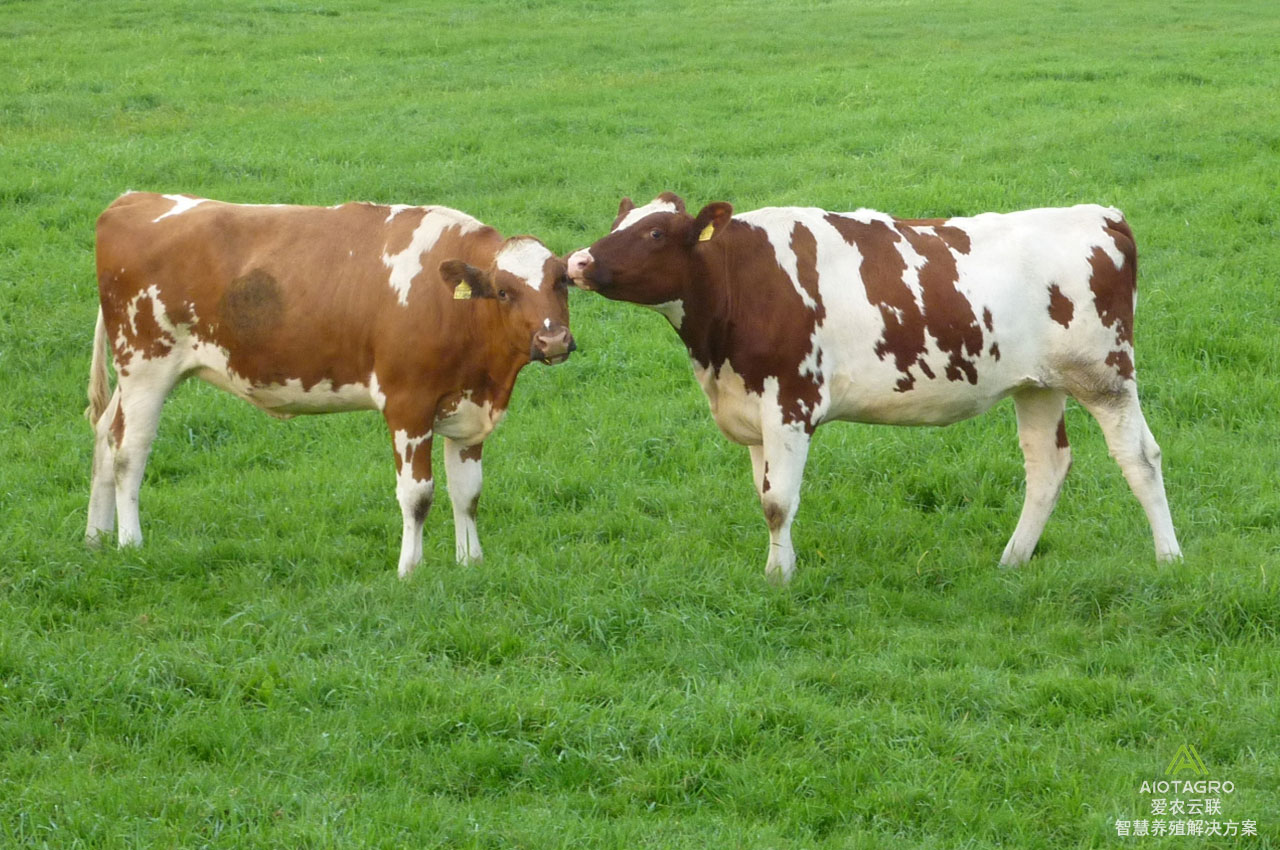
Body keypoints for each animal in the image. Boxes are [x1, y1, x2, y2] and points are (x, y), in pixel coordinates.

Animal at [85, 192, 576, 578]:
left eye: (562, 283)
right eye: (504, 292)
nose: (552, 340)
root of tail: (133, 200)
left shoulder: (469, 407)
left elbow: (467, 492)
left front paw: (470, 563)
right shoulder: (407, 404)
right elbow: (417, 495)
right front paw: (409, 571)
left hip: (132, 377)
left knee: (105, 437)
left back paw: (96, 537)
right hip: (146, 366)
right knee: (129, 451)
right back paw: (130, 543)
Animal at [568, 193, 1177, 583]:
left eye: (654, 233)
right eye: (620, 221)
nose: (576, 261)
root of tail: (1101, 215)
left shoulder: (790, 402)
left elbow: (778, 501)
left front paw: (779, 579)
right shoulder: (752, 412)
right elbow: (764, 497)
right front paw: (777, 569)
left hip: (1104, 374)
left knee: (1140, 456)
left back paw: (1169, 559)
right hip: (1037, 384)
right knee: (1046, 466)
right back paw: (1012, 560)